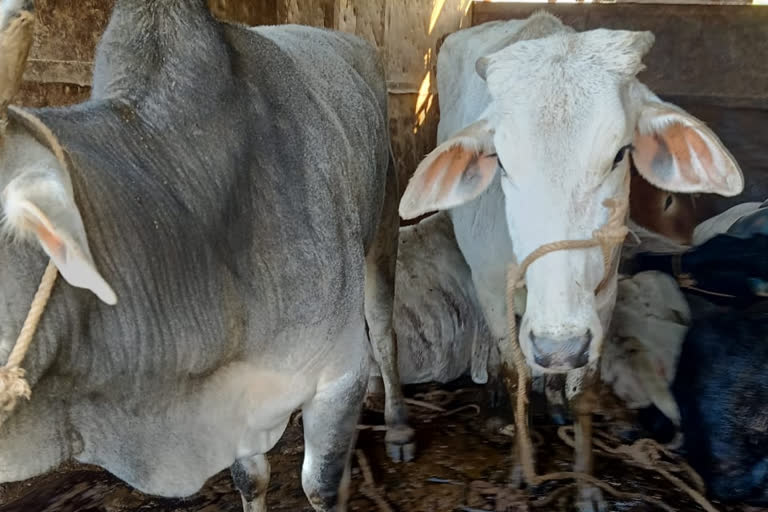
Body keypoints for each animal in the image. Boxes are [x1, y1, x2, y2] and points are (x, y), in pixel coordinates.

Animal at [0, 1, 414, 512]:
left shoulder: (339, 375)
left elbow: (321, 485)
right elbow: (249, 478)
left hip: (385, 218)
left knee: (384, 331)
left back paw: (398, 426)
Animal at [400, 12, 740, 512]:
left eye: (619, 153)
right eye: (501, 162)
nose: (558, 347)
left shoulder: (603, 296)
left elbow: (585, 388)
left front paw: (586, 485)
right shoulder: (491, 287)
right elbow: (515, 371)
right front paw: (521, 467)